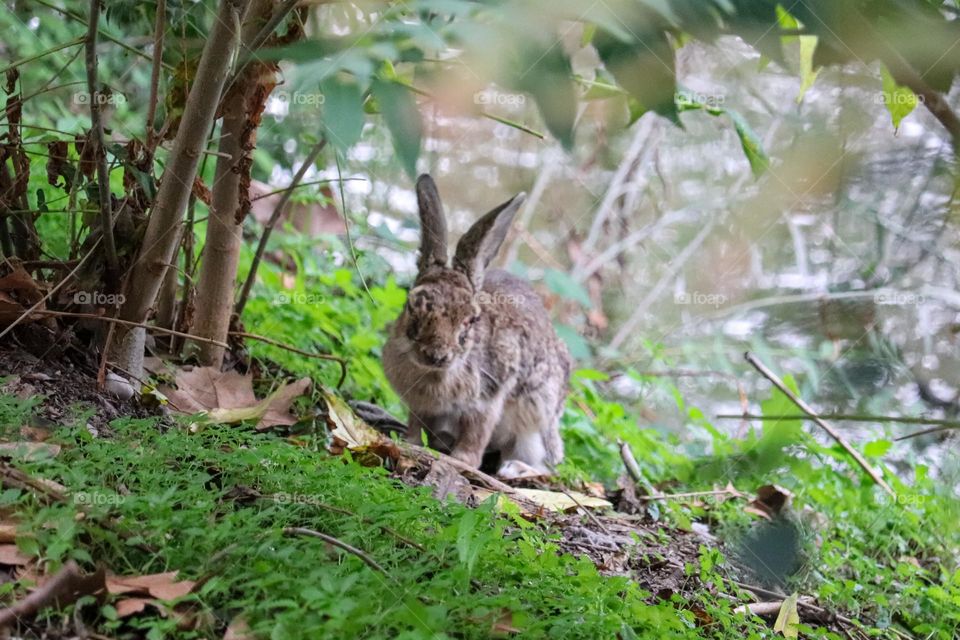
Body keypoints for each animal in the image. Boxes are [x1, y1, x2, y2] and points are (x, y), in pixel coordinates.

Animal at [382, 174, 571, 479]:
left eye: (471, 319)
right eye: (412, 305)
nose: (436, 355)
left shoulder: (488, 398)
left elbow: (477, 432)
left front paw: (463, 460)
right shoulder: (421, 406)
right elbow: (416, 423)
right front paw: (410, 441)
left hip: (536, 421)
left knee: (544, 465)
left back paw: (513, 469)